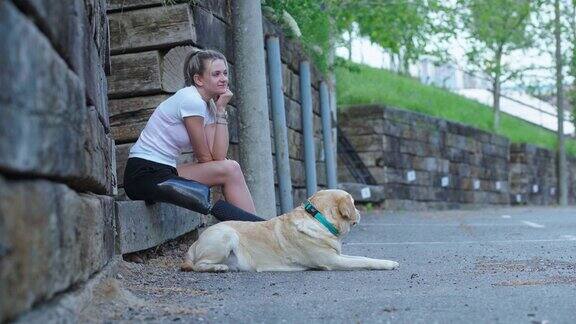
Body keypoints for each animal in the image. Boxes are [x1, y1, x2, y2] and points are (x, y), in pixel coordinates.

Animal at [182, 189, 398, 272]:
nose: (360, 212)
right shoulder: (332, 261)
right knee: (198, 265)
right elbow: (364, 261)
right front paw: (388, 264)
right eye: (353, 203)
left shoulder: (337, 255)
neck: (317, 219)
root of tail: (195, 242)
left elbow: (361, 257)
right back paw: (217, 268)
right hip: (226, 235)